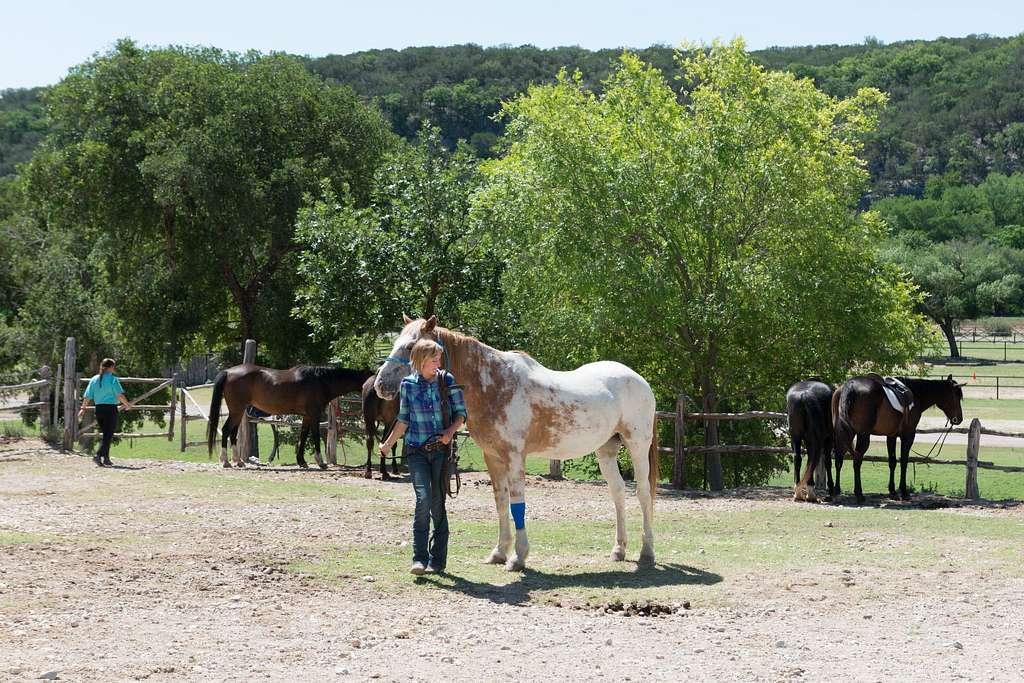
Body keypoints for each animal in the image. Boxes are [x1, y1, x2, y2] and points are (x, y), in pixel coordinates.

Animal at [204, 362, 372, 471]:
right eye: (371, 378)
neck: (320, 381)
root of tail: (228, 372)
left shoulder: (307, 416)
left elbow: (303, 436)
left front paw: (302, 461)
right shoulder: (314, 415)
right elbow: (315, 437)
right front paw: (321, 462)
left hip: (238, 412)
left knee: (233, 433)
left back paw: (238, 461)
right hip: (236, 411)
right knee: (226, 430)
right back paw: (226, 462)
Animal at [374, 315, 655, 573]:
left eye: (411, 346)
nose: (380, 385)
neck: (494, 384)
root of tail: (639, 379)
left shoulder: (515, 457)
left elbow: (517, 504)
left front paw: (518, 557)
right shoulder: (493, 457)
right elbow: (501, 503)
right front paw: (499, 552)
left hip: (637, 446)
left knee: (643, 494)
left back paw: (647, 552)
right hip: (606, 450)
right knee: (618, 492)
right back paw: (619, 549)